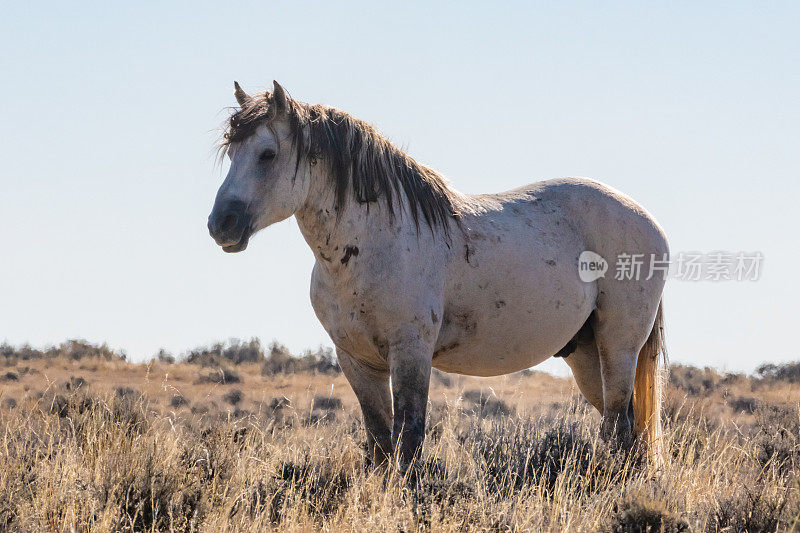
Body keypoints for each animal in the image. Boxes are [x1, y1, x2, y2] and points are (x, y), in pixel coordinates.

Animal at [208, 81, 668, 468]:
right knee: (624, 426)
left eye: (267, 154)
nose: (220, 224)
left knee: (619, 426)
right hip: (586, 354)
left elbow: (409, 437)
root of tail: (648, 221)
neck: (375, 242)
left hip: (618, 346)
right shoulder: (355, 359)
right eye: (231, 153)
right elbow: (379, 441)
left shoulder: (411, 352)